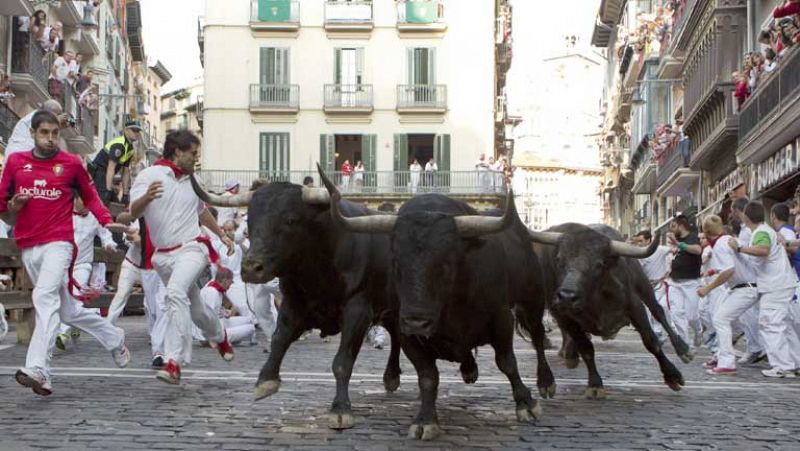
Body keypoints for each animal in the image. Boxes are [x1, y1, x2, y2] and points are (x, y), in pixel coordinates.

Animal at [191, 177, 410, 430]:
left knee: (397, 336)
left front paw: (340, 409)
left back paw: (391, 375)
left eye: (290, 219)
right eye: (251, 220)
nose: (251, 268)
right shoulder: (293, 305)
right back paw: (391, 376)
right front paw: (266, 380)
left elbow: (342, 361)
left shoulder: (358, 311)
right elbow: (279, 340)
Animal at [318, 166, 556, 442]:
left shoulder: (502, 319)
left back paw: (546, 382)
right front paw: (425, 419)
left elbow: (507, 362)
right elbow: (428, 377)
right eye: (396, 261)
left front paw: (526, 403)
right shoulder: (407, 333)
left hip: (532, 302)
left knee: (538, 337)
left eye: (447, 262)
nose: (417, 321)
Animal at [528, 222, 692, 400]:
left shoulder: (635, 307)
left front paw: (672, 376)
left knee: (658, 312)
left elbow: (651, 341)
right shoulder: (564, 316)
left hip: (644, 285)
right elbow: (586, 348)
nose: (566, 296)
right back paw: (571, 354)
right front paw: (595, 384)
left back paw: (683, 350)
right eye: (559, 259)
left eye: (599, 264)